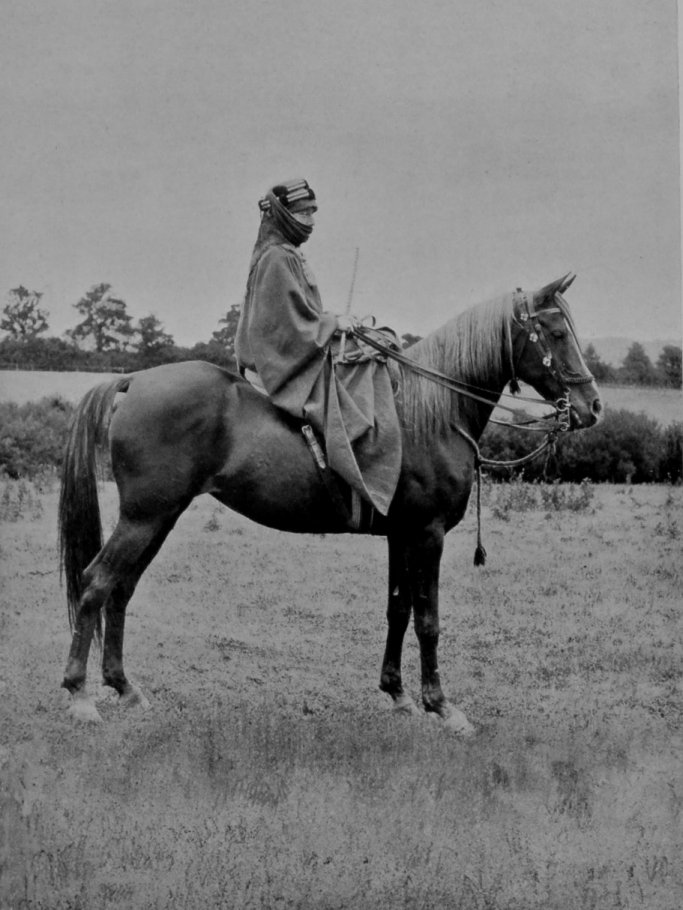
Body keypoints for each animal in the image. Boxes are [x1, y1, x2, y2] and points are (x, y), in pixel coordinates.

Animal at [59, 274, 602, 732]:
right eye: (556, 332)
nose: (593, 406)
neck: (430, 415)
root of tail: (134, 380)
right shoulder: (427, 535)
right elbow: (428, 621)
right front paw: (442, 706)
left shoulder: (400, 536)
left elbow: (398, 609)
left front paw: (397, 694)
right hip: (143, 517)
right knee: (96, 583)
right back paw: (79, 695)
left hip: (160, 518)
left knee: (121, 588)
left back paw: (123, 687)